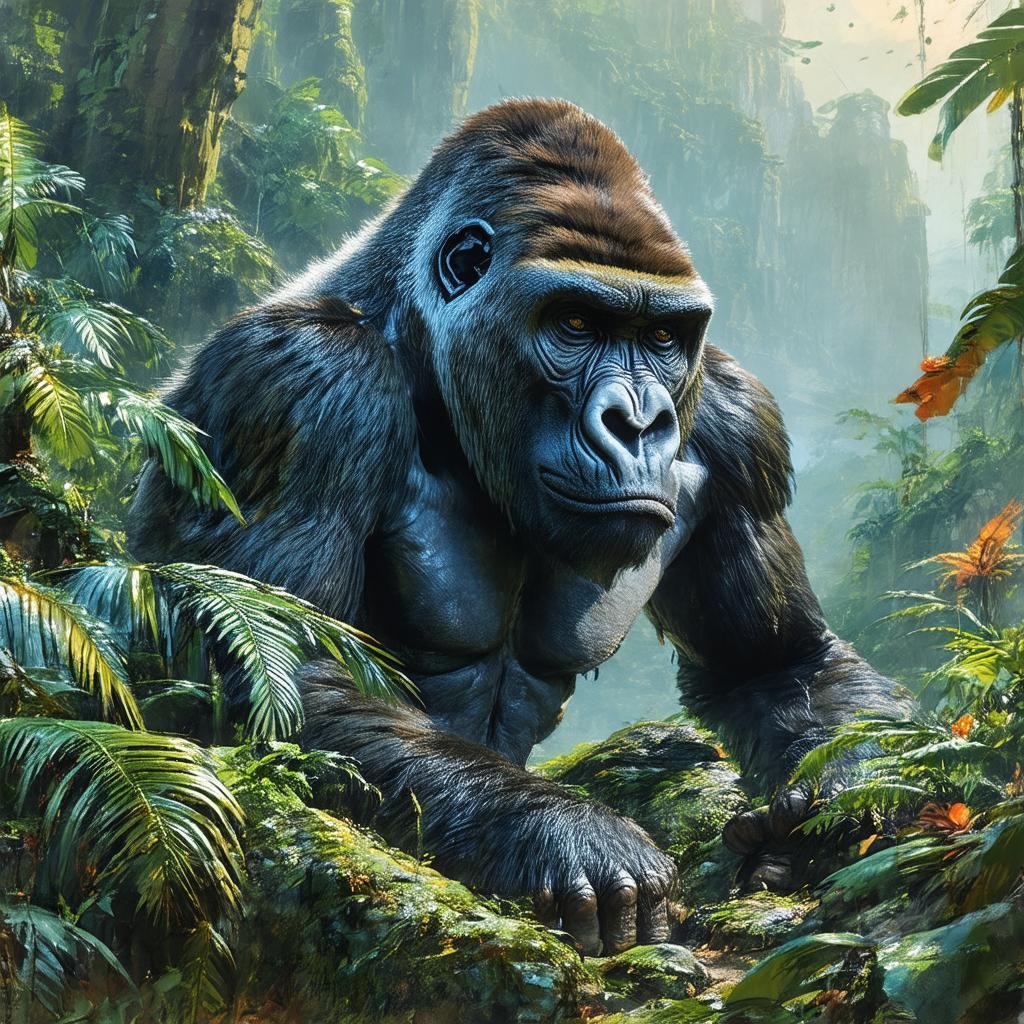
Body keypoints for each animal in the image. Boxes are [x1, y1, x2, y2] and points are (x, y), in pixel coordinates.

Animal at [129, 98, 905, 956]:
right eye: (574, 321)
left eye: (661, 338)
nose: (640, 424)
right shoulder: (297, 383)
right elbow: (281, 670)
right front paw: (566, 835)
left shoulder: (739, 425)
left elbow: (776, 663)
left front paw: (844, 803)